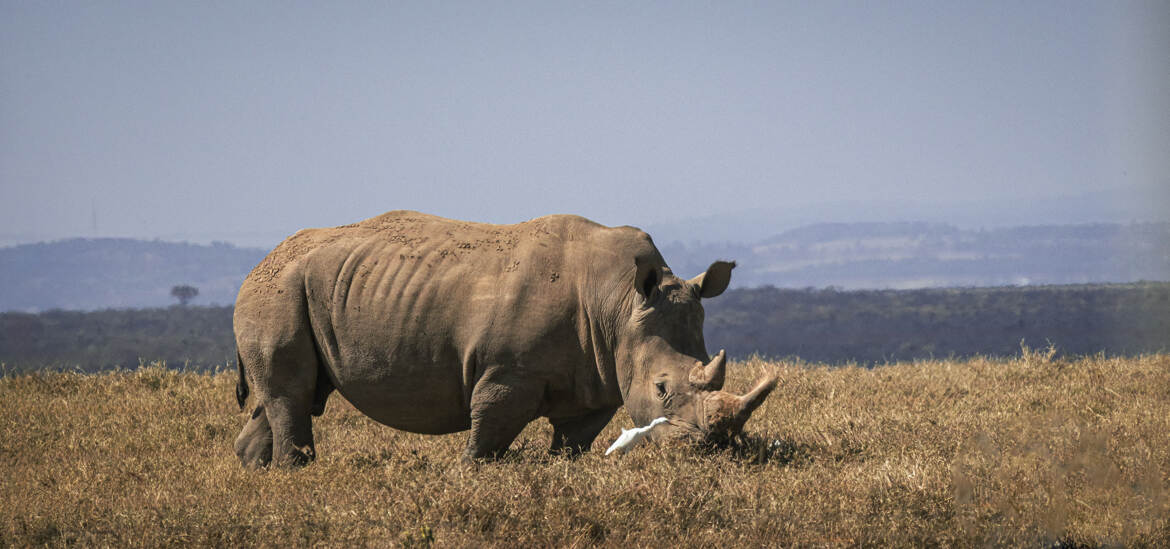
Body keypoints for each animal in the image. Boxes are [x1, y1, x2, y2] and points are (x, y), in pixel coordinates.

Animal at [233, 211, 776, 467]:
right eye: (662, 389)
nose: (710, 450)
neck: (620, 304)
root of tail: (260, 262)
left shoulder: (597, 379)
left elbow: (573, 442)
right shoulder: (505, 373)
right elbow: (487, 438)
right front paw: (469, 477)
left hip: (300, 289)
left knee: (292, 396)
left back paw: (259, 474)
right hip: (277, 291)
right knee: (292, 395)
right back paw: (297, 475)